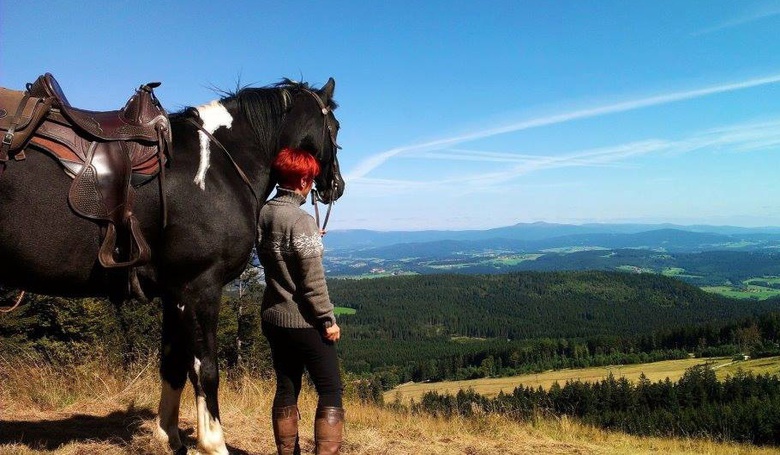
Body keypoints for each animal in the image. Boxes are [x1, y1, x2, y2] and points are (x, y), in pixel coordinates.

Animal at [0, 76, 344, 454]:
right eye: (335, 127)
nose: (337, 185)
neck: (217, 167)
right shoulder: (201, 286)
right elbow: (205, 369)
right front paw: (213, 443)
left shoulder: (174, 291)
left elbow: (172, 363)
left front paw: (168, 434)